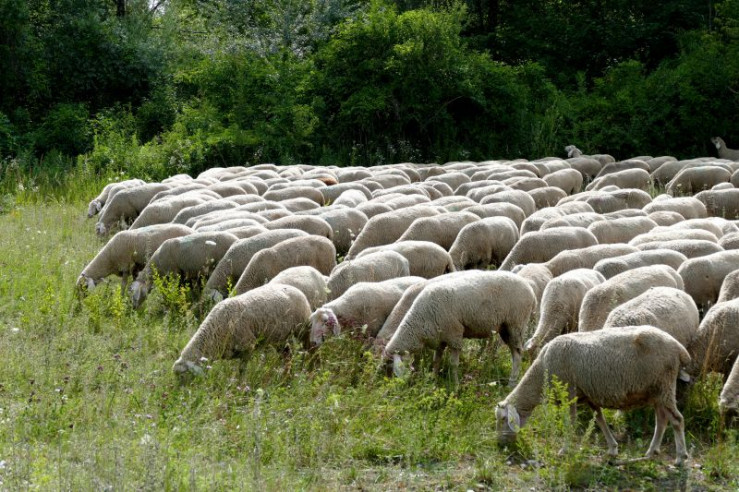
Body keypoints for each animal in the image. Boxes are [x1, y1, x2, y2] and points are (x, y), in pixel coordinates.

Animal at [173, 284, 312, 377]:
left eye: (183, 376)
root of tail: (295, 288)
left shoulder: (247, 347)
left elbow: (242, 371)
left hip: (301, 329)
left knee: (305, 347)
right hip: (278, 336)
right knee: (287, 353)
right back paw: (286, 374)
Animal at [382, 270, 536, 386]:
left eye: (389, 364)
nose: (388, 387)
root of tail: (530, 289)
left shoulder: (454, 335)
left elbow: (453, 364)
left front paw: (455, 386)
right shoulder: (440, 338)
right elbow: (436, 361)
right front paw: (433, 380)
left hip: (516, 324)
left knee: (518, 354)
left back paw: (512, 382)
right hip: (505, 327)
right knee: (514, 353)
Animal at [496, 326, 690, 465]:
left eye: (504, 419)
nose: (500, 444)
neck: (541, 370)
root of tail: (679, 348)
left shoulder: (569, 392)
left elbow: (571, 421)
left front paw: (565, 449)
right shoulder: (589, 395)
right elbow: (599, 419)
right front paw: (613, 448)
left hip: (664, 385)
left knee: (677, 419)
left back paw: (680, 457)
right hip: (657, 390)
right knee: (662, 419)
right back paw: (651, 451)